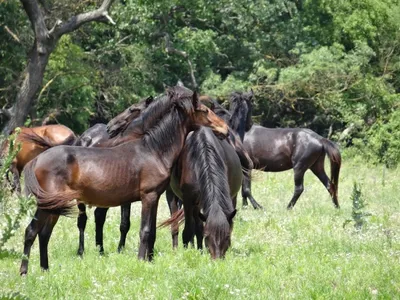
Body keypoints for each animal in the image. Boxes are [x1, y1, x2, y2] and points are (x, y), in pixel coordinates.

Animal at [20, 86, 230, 274]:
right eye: (204, 111)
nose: (226, 129)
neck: (153, 149)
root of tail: (37, 159)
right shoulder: (148, 197)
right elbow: (145, 230)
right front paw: (141, 260)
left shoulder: (155, 197)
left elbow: (152, 232)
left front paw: (149, 260)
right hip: (48, 205)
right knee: (31, 231)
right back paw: (24, 272)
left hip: (54, 207)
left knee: (44, 234)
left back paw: (45, 269)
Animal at [159, 125, 241, 258]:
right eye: (208, 237)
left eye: (227, 236)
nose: (217, 259)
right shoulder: (188, 200)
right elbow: (188, 230)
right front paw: (186, 253)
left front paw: (200, 251)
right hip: (174, 196)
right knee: (177, 225)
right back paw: (176, 249)